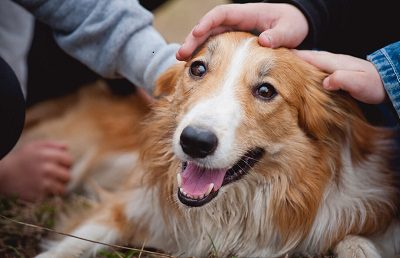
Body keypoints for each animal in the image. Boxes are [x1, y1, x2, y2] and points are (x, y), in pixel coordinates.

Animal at [25, 32, 400, 258]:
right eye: (198, 68)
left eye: (266, 90)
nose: (194, 141)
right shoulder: (126, 205)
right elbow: (63, 249)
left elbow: (355, 241)